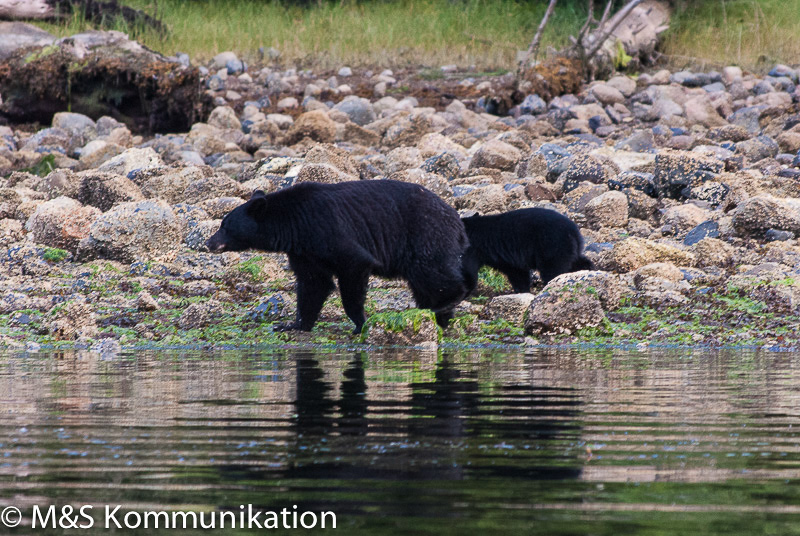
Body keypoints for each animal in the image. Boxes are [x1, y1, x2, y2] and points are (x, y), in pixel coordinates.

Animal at [205, 181, 476, 330]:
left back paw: (448, 302)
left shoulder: (328, 229)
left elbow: (353, 265)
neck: (293, 224)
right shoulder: (304, 250)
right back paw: (437, 315)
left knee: (433, 275)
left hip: (425, 236)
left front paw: (359, 323)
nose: (208, 243)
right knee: (424, 283)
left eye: (225, 225)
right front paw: (293, 324)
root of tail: (457, 220)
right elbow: (313, 283)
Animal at [462, 208, 592, 294]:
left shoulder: (474, 250)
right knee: (577, 261)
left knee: (553, 270)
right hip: (569, 248)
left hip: (552, 246)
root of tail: (573, 231)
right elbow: (519, 272)